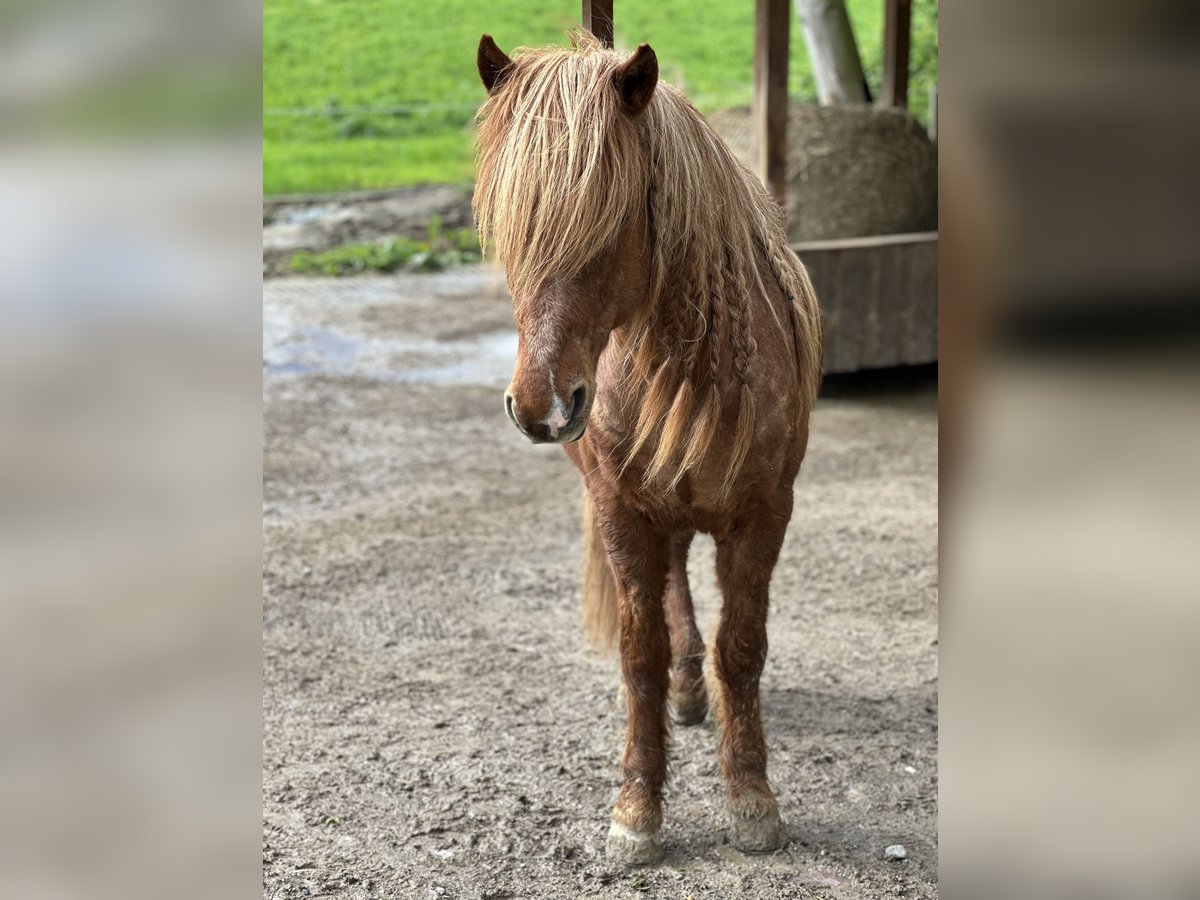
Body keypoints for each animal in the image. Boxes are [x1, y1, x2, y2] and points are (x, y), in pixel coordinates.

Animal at [472, 31, 820, 868]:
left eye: (612, 221)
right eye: (511, 231)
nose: (540, 405)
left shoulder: (765, 514)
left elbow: (743, 647)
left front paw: (752, 800)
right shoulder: (623, 512)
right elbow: (641, 656)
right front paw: (637, 811)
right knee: (668, 597)